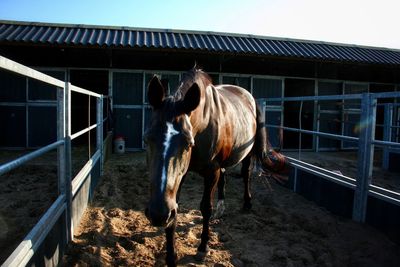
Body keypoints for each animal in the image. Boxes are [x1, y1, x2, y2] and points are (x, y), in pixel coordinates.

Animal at [144, 68, 288, 266]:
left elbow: (205, 207)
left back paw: (247, 203)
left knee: (246, 175)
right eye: (147, 139)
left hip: (247, 153)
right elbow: (176, 209)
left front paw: (203, 247)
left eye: (188, 143)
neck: (203, 125)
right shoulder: (181, 176)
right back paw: (221, 208)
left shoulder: (211, 172)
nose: (158, 214)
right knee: (224, 179)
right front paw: (171, 256)